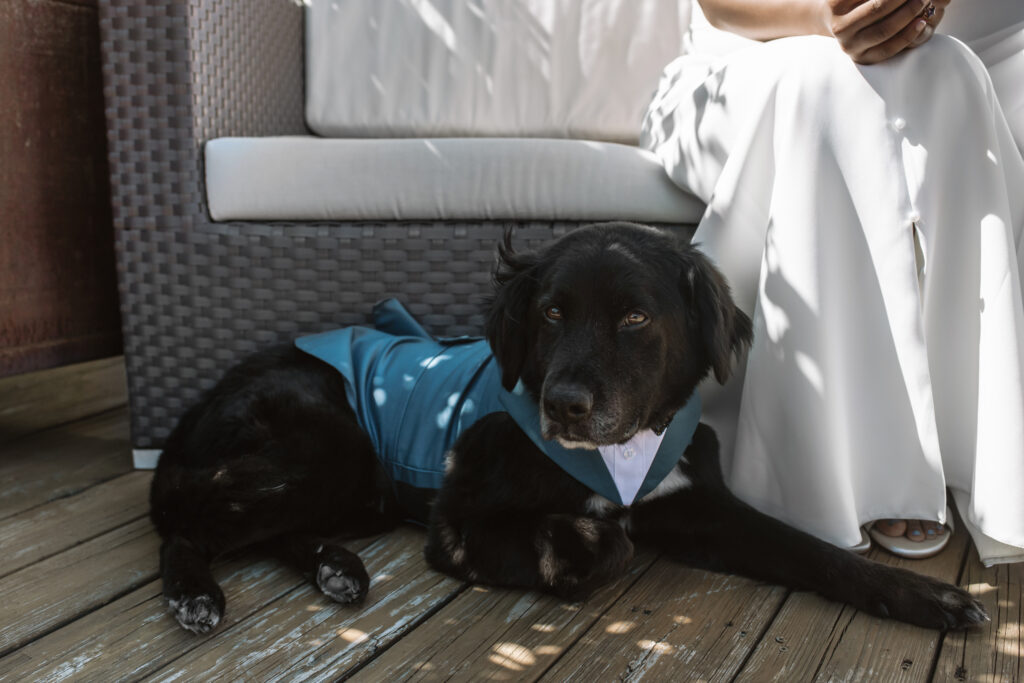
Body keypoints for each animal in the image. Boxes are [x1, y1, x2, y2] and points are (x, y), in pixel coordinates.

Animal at [148, 224, 987, 634]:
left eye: (636, 317)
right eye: (552, 311)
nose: (566, 403)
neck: (618, 454)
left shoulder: (696, 504)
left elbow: (812, 550)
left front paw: (925, 596)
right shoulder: (454, 522)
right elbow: (607, 540)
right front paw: (576, 546)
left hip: (359, 491)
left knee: (261, 528)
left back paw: (334, 567)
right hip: (335, 448)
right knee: (188, 519)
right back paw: (196, 594)